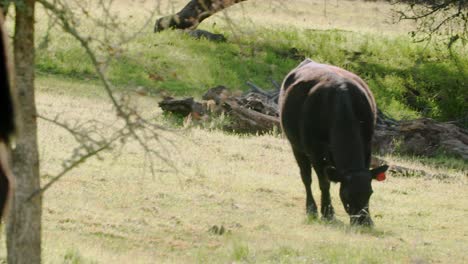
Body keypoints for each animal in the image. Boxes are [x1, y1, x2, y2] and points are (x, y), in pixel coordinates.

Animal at [282, 58, 388, 226]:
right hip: (296, 146)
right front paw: (328, 213)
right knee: (306, 177)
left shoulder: (367, 147)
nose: (362, 221)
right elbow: (324, 182)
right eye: (346, 194)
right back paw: (311, 208)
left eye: (370, 192)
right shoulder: (316, 152)